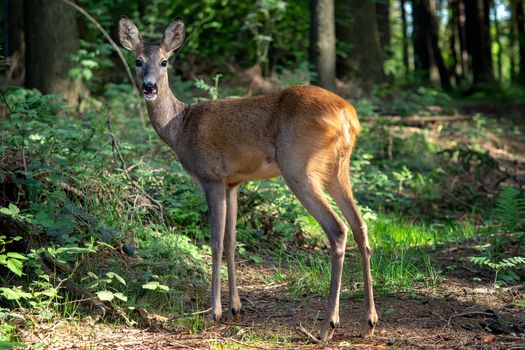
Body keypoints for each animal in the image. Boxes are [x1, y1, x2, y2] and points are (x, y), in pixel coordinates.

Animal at [118, 17, 376, 342]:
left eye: (164, 61)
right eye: (138, 60)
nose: (149, 87)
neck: (179, 127)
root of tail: (348, 116)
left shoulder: (211, 177)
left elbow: (215, 242)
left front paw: (214, 311)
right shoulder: (234, 183)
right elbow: (232, 241)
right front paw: (235, 307)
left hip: (299, 166)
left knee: (338, 228)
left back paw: (328, 324)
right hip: (337, 169)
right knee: (360, 225)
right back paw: (368, 321)